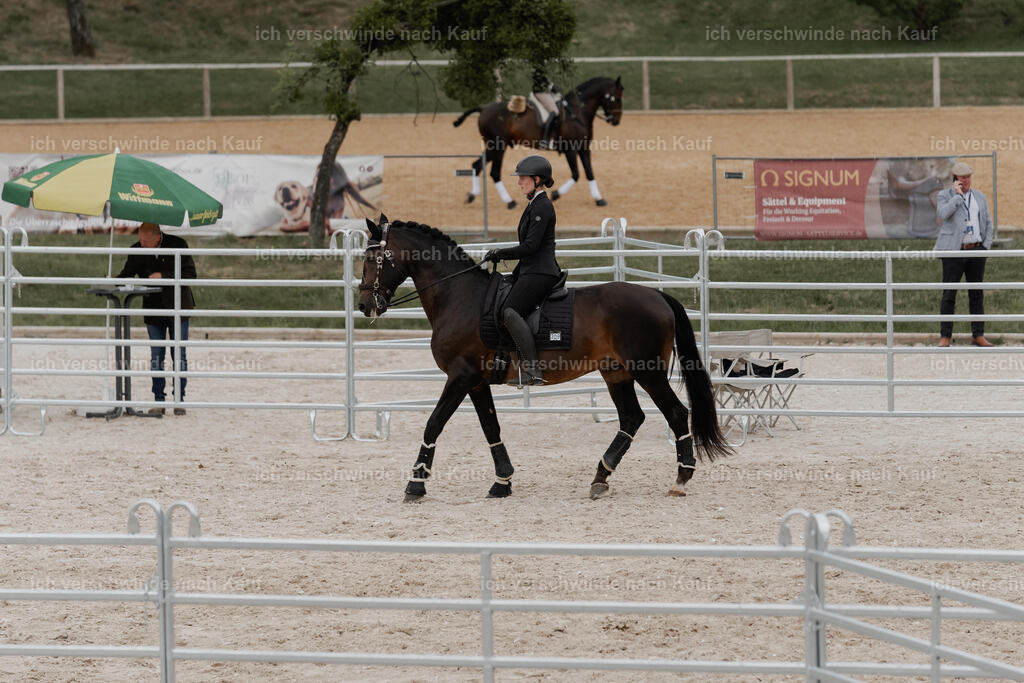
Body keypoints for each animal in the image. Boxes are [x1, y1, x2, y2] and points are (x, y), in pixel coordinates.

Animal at [357, 216, 731, 502]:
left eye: (372, 258)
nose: (364, 306)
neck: (460, 297)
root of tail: (656, 294)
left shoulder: (460, 376)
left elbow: (434, 423)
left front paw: (415, 485)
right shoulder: (475, 382)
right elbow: (491, 428)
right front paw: (502, 482)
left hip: (647, 371)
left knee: (676, 413)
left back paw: (680, 479)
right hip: (616, 372)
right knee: (631, 418)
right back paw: (601, 477)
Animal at [452, 76, 623, 210]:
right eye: (616, 98)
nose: (616, 121)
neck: (577, 113)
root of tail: (483, 109)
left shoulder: (583, 148)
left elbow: (589, 172)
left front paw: (599, 198)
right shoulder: (570, 149)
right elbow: (576, 174)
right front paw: (555, 194)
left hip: (493, 147)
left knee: (477, 165)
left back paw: (472, 196)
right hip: (498, 146)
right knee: (494, 172)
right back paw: (509, 202)